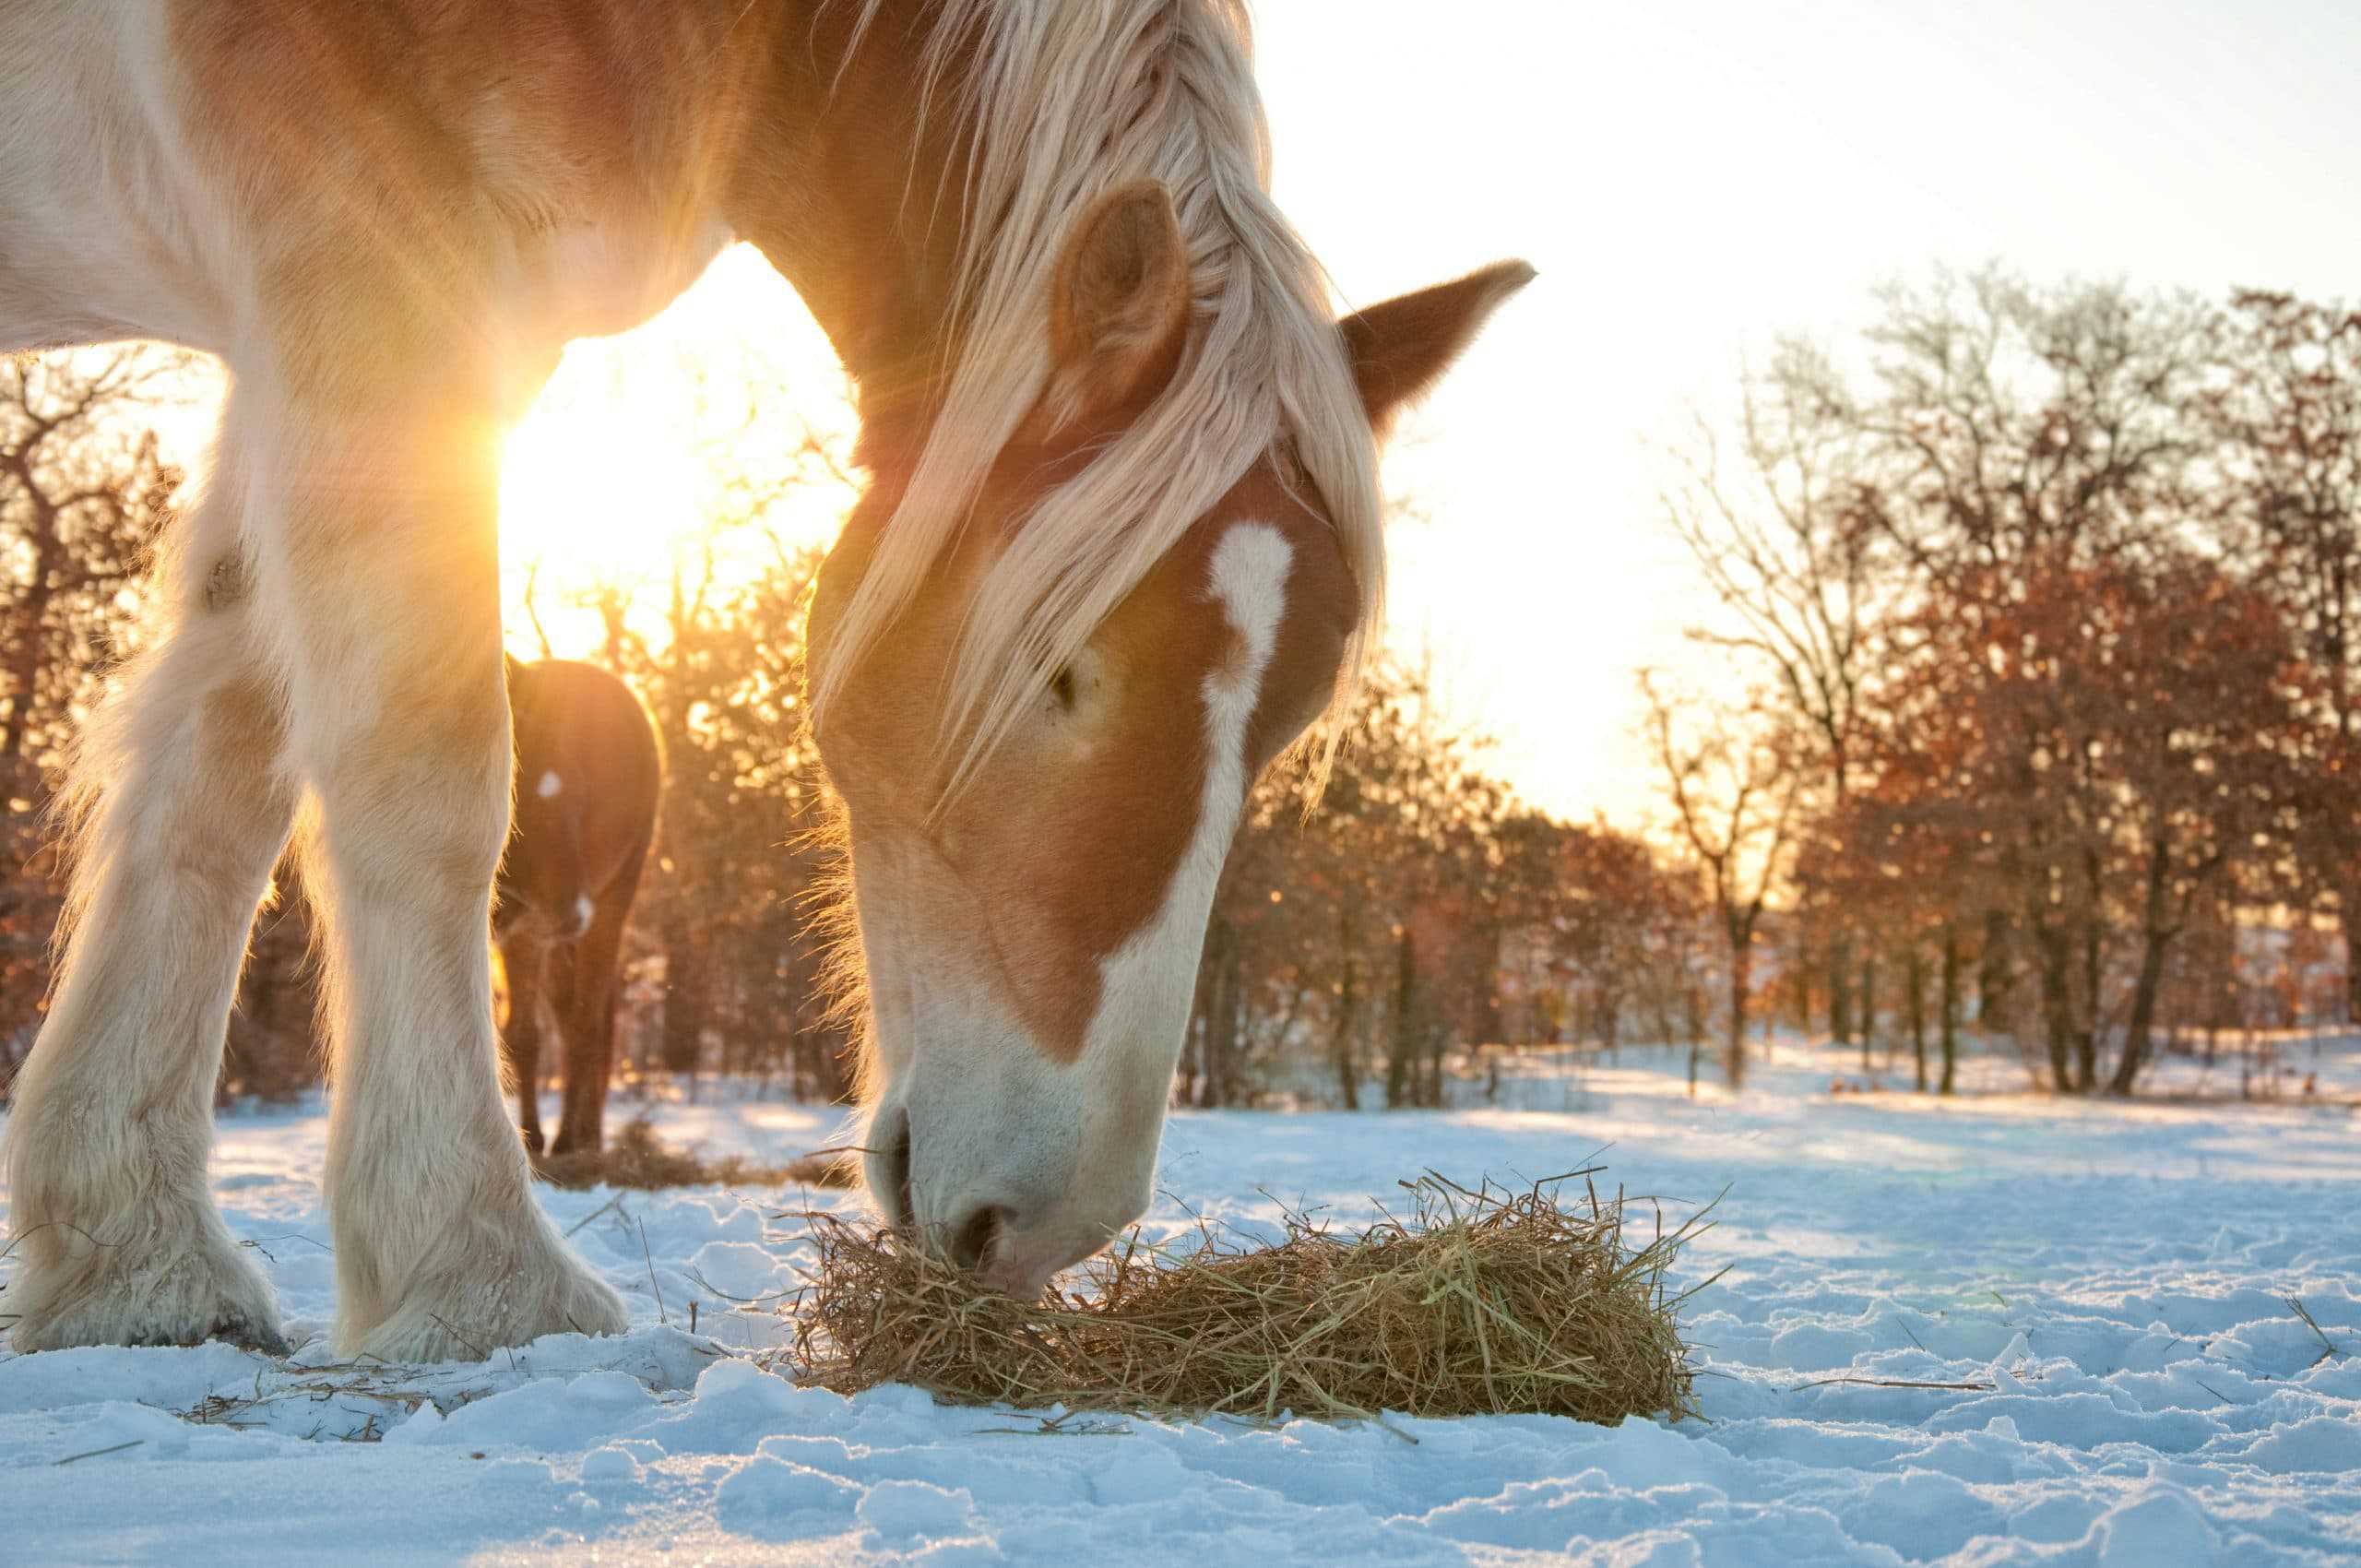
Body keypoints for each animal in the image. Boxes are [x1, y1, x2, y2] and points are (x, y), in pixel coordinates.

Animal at [496, 656, 662, 1160]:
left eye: (581, 797)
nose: (572, 914)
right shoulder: (512, 934)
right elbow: (523, 1036)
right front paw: (529, 1138)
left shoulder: (523, 932)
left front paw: (548, 1140)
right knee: (570, 1021)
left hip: (609, 909)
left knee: (586, 1025)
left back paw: (575, 1138)